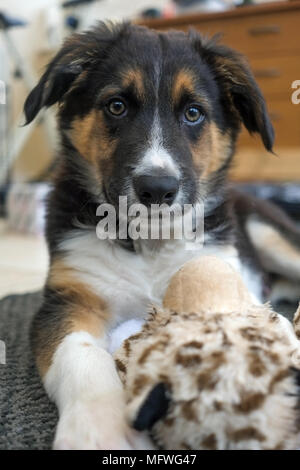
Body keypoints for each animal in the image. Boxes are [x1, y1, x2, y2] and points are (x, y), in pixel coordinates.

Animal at [24, 21, 300, 448]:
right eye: (116, 105)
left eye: (193, 113)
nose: (156, 189)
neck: (149, 242)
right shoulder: (68, 299)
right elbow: (79, 354)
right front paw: (100, 428)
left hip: (270, 234)